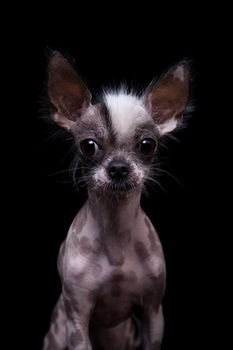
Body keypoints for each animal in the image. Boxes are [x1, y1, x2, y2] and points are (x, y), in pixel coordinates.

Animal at [42, 52, 190, 350]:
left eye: (147, 145)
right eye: (88, 145)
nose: (119, 168)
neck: (116, 232)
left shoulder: (153, 313)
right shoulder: (77, 319)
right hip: (57, 332)